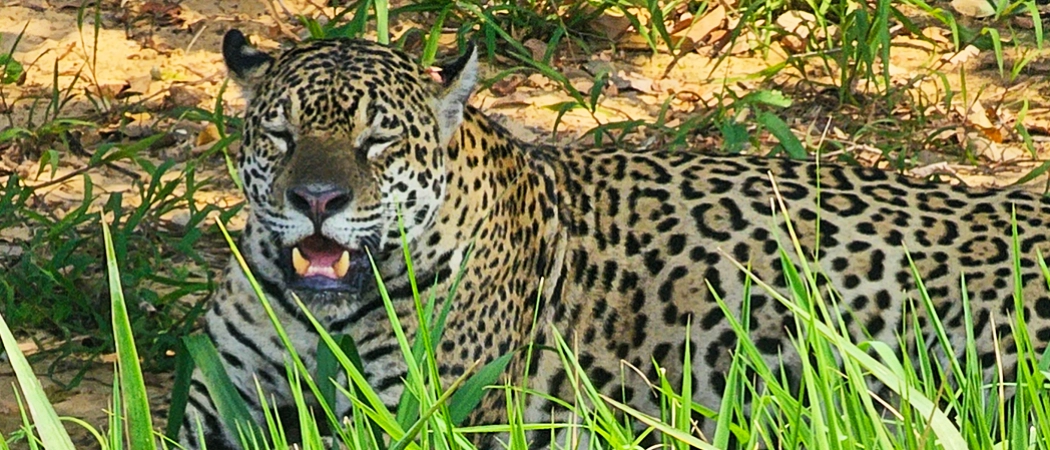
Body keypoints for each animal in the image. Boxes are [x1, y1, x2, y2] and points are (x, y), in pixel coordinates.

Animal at [178, 28, 1050, 449]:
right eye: (282, 134)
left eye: (378, 141)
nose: (315, 201)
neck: (314, 317)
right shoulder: (216, 411)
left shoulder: (422, 413)